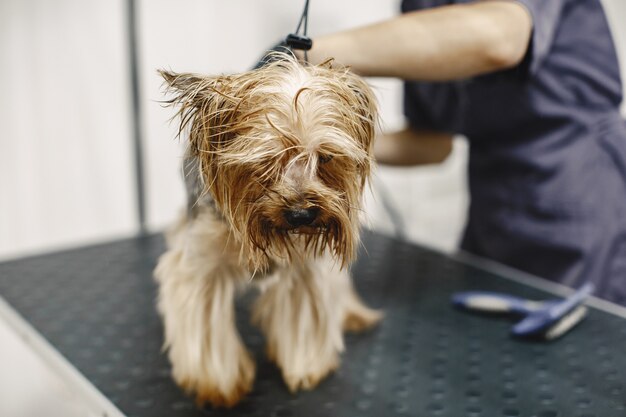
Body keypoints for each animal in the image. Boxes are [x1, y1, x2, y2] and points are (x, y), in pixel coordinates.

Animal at [155, 52, 380, 406]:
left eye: (326, 157)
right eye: (265, 161)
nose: (302, 214)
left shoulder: (303, 265)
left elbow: (303, 313)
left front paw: (305, 366)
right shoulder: (201, 265)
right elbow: (206, 324)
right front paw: (219, 384)